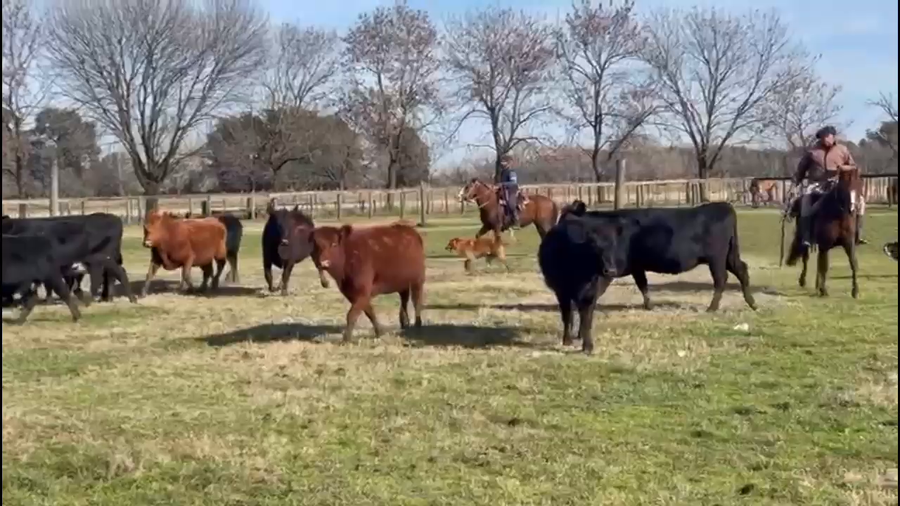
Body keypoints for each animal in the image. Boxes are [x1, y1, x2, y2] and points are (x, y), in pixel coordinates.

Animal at [541, 200, 756, 354]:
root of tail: (723, 205)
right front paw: (649, 305)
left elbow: (639, 285)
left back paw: (713, 307)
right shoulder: (637, 266)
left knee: (721, 279)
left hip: (716, 258)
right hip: (728, 255)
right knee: (742, 270)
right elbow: (643, 284)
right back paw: (751, 303)